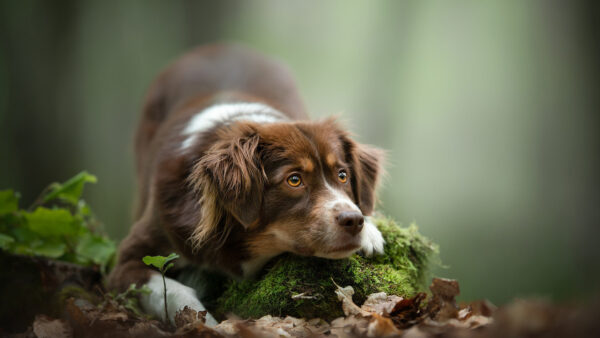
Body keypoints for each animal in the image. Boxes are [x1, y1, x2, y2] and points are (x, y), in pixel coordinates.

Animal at [108, 44, 384, 324]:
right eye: (294, 180)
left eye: (343, 175)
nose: (353, 221)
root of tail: (218, 46)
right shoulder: (132, 257)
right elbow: (176, 292)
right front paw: (207, 324)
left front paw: (370, 230)